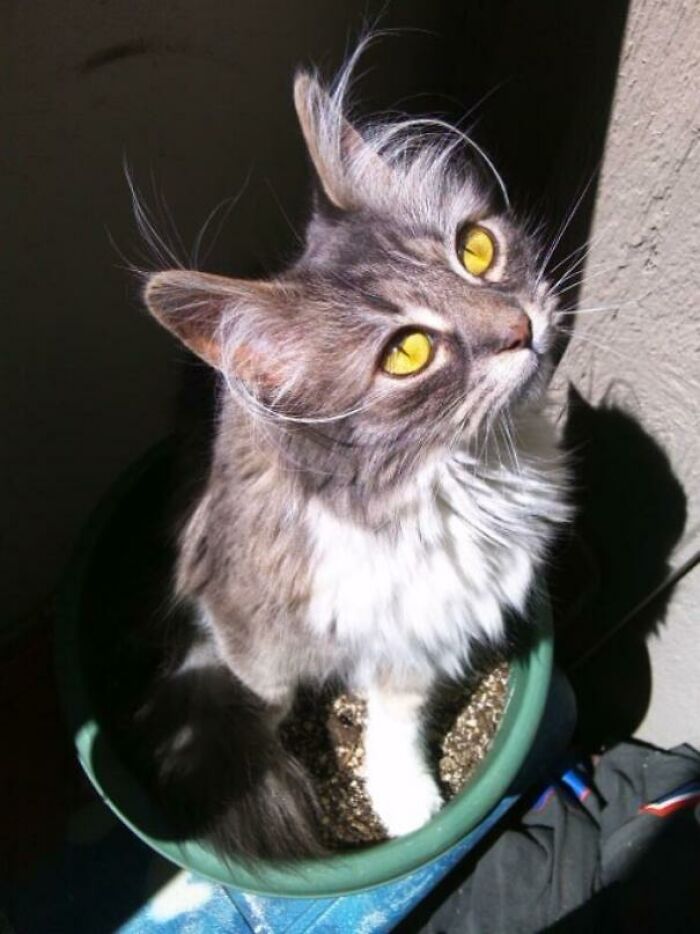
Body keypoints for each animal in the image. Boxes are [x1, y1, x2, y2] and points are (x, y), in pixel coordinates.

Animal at [135, 47, 568, 860]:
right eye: (408, 352)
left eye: (476, 249)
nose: (521, 327)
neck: (455, 475)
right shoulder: (255, 622)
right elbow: (276, 705)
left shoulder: (422, 629)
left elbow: (396, 722)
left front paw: (406, 801)